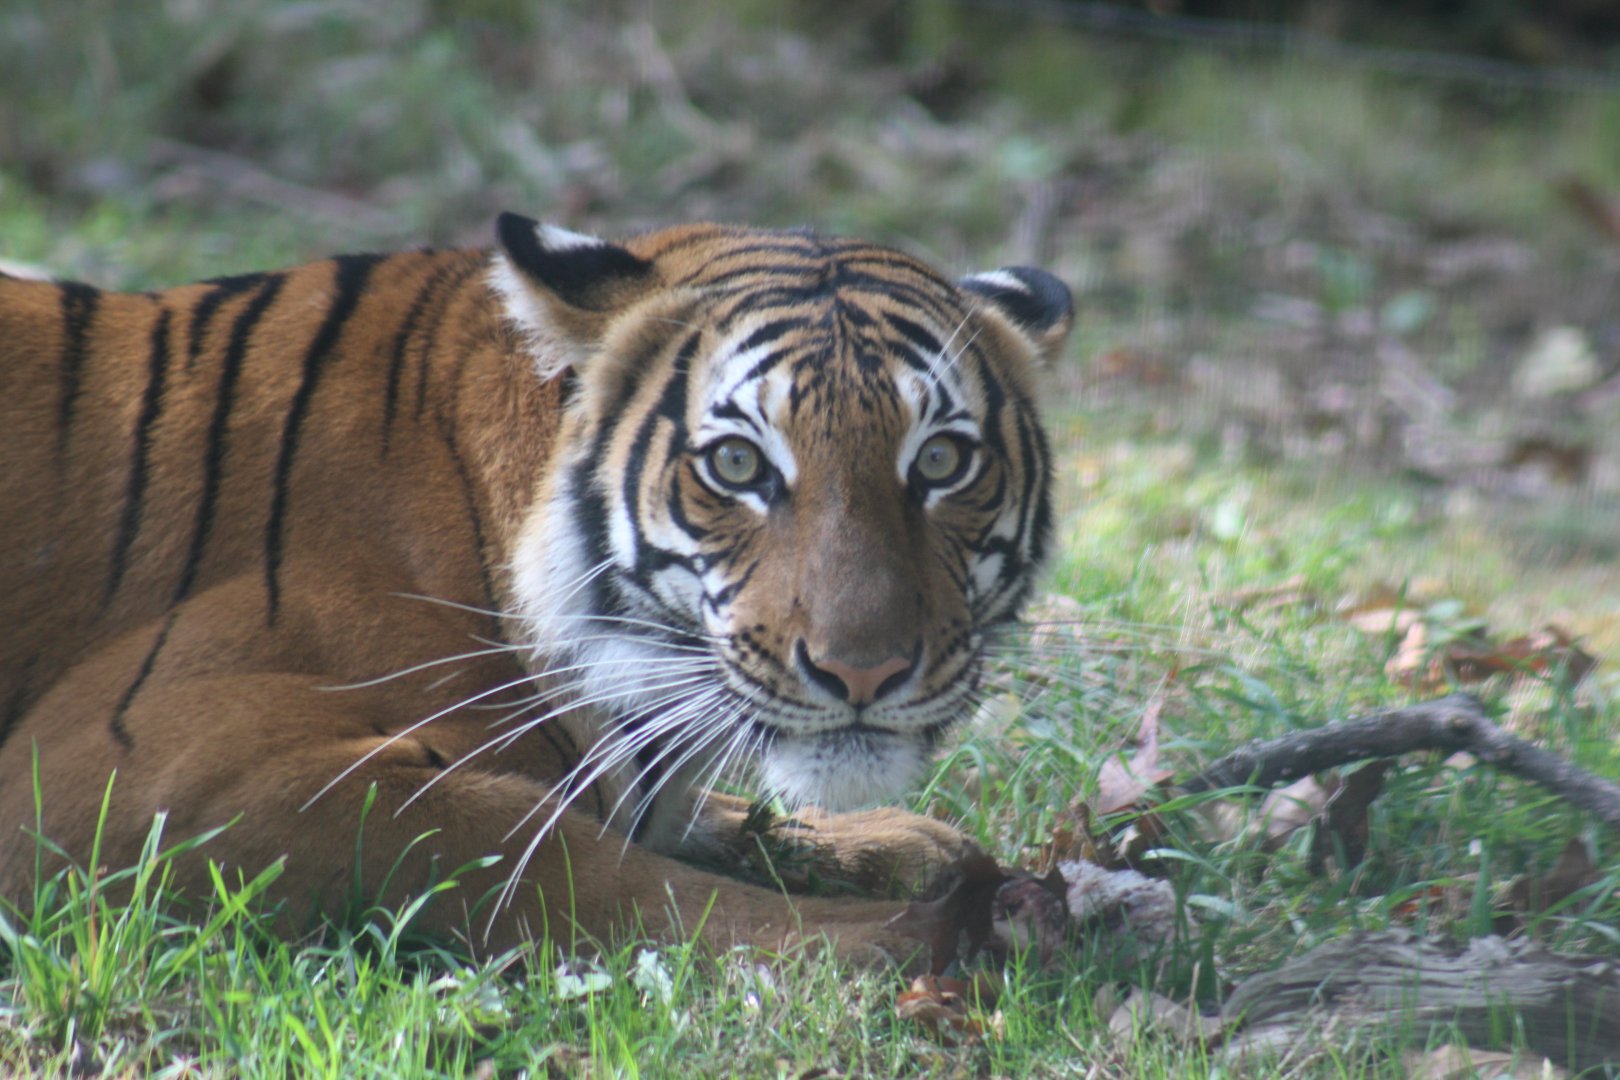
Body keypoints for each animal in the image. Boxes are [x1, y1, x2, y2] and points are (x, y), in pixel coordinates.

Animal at [0, 213, 1072, 964]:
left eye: (940, 462)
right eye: (736, 464)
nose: (864, 673)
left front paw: (906, 847)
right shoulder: (126, 772)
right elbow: (553, 854)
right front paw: (923, 933)